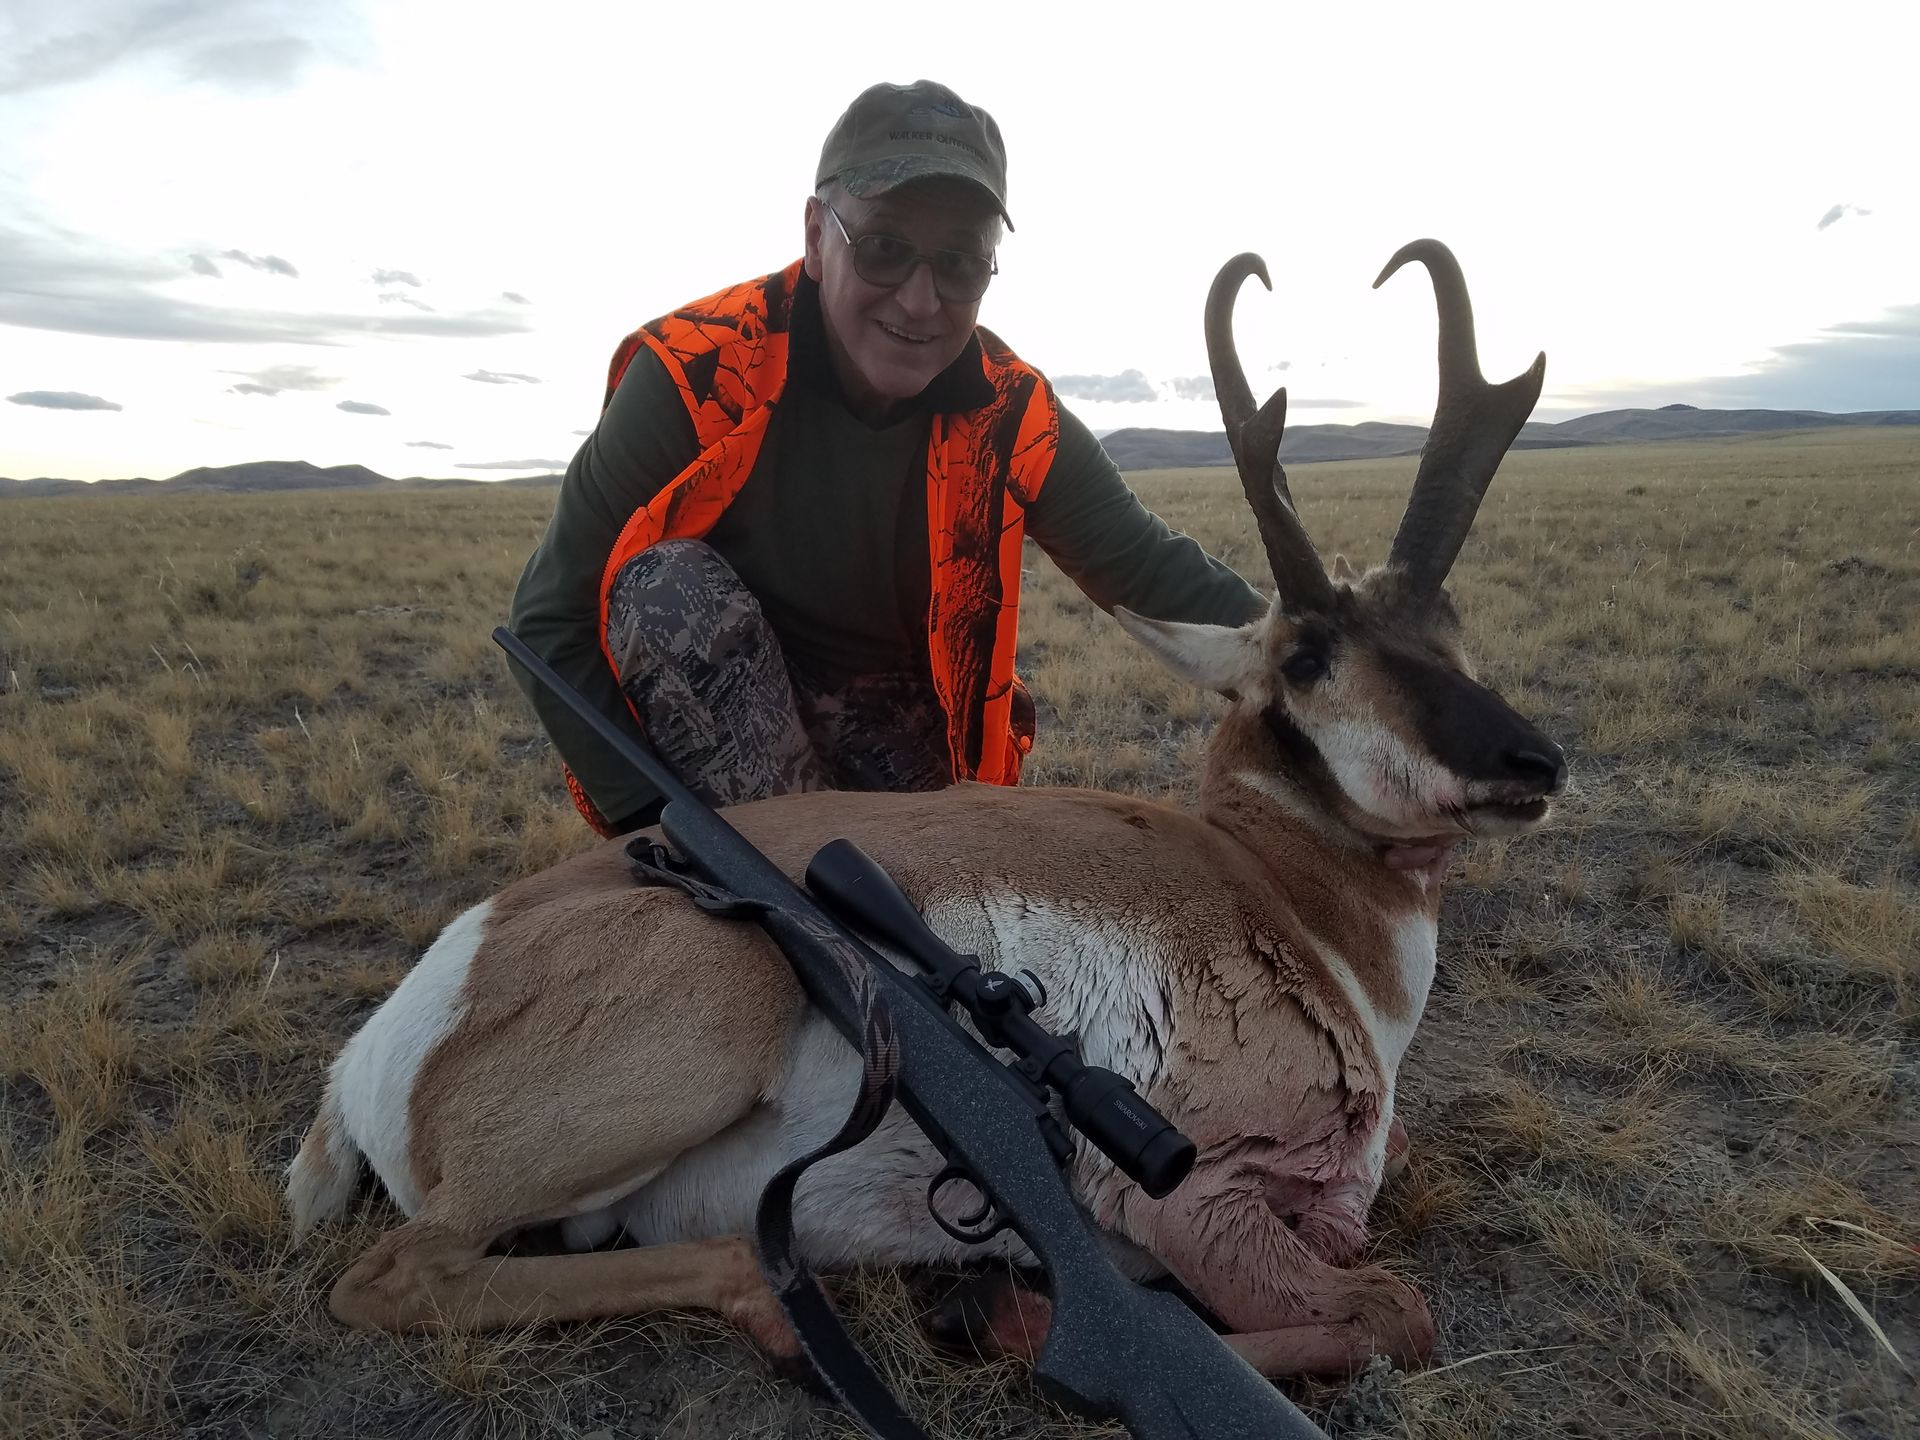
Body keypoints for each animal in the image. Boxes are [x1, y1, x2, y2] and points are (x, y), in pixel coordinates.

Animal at [286, 239, 1563, 1382]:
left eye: (1449, 627)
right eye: (1305, 656)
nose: (1536, 759)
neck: (1284, 900)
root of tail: (388, 1033)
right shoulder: (1195, 1199)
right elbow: (1392, 1310)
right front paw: (1007, 1320)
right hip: (721, 1002)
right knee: (397, 1275)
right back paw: (789, 1302)